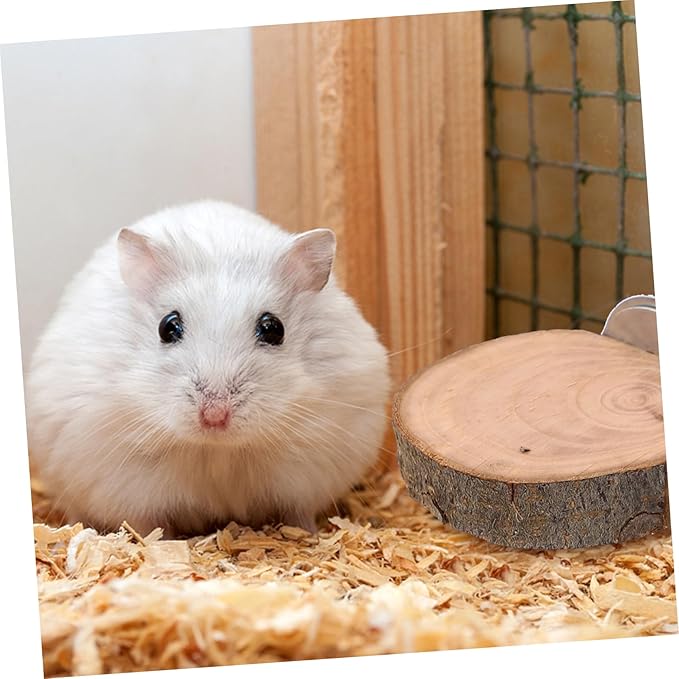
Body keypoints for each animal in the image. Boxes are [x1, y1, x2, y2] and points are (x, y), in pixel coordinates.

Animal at [25, 201, 390, 537]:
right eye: (168, 326)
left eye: (273, 328)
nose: (214, 416)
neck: (217, 449)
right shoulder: (126, 482)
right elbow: (148, 526)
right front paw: (160, 544)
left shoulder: (311, 469)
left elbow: (297, 514)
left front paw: (309, 535)